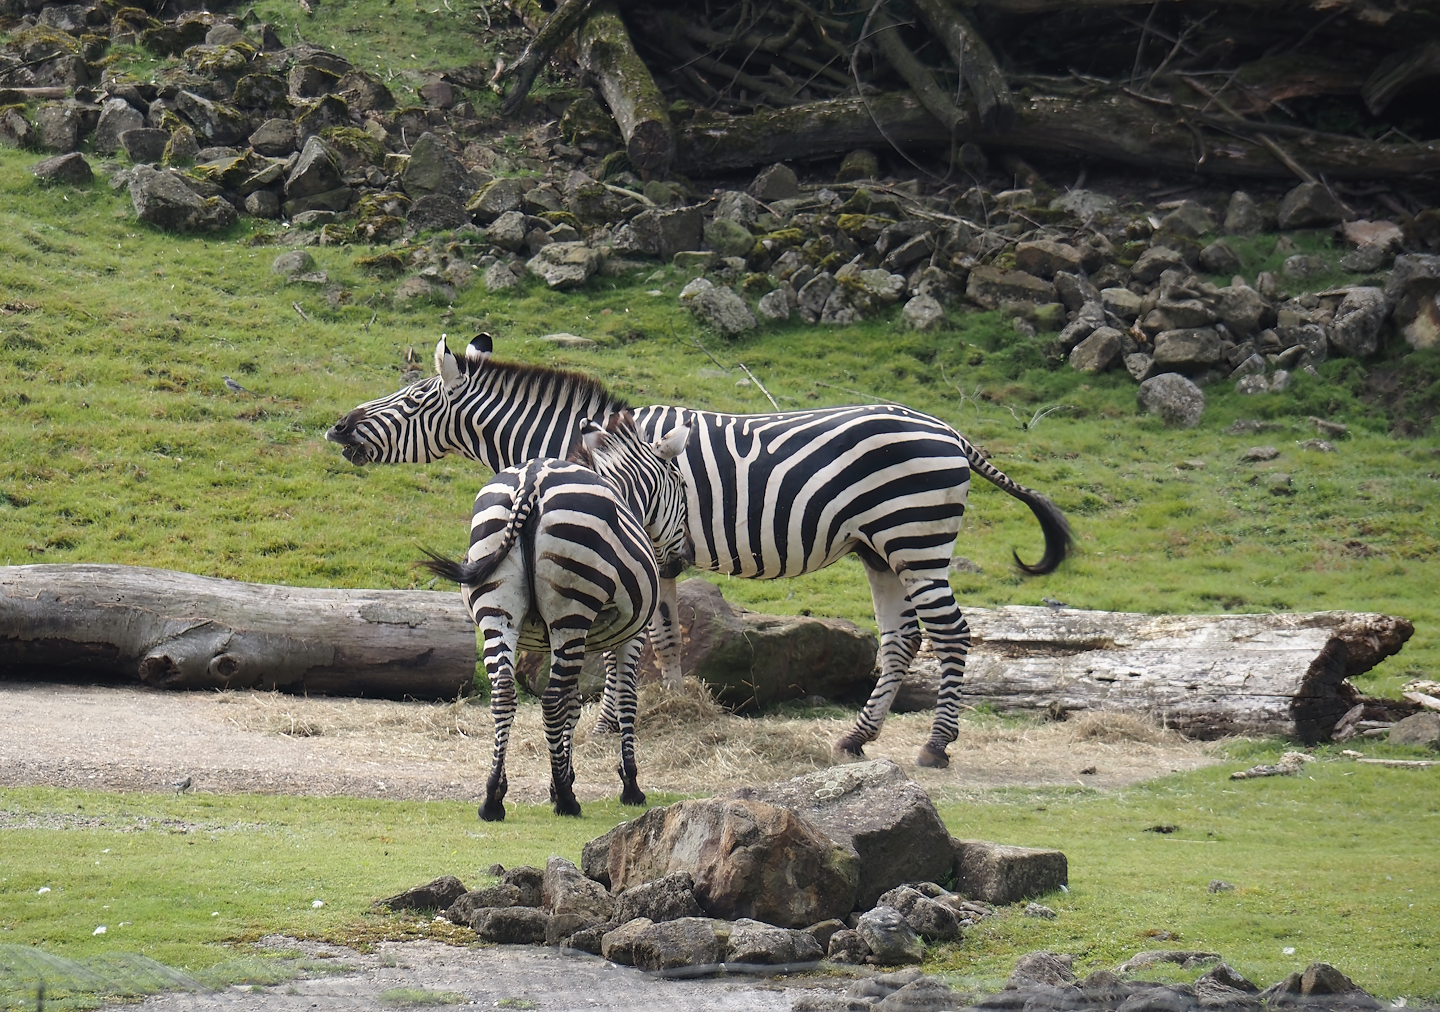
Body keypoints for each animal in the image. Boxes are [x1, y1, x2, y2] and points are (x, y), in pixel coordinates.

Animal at [328, 334, 1071, 769]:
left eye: (413, 398)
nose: (336, 428)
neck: (581, 444)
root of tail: (947, 429)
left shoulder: (633, 548)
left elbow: (632, 644)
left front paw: (612, 722)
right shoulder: (657, 554)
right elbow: (662, 638)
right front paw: (667, 710)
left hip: (914, 535)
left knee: (952, 632)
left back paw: (936, 746)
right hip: (878, 549)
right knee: (903, 638)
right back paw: (857, 737)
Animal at [420, 404, 693, 821]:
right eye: (680, 486)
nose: (682, 561)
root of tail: (532, 481)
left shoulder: (561, 637)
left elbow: (574, 703)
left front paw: (558, 777)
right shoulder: (628, 636)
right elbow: (623, 700)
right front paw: (628, 786)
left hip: (500, 611)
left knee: (504, 693)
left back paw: (493, 798)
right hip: (571, 611)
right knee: (549, 700)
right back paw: (566, 800)